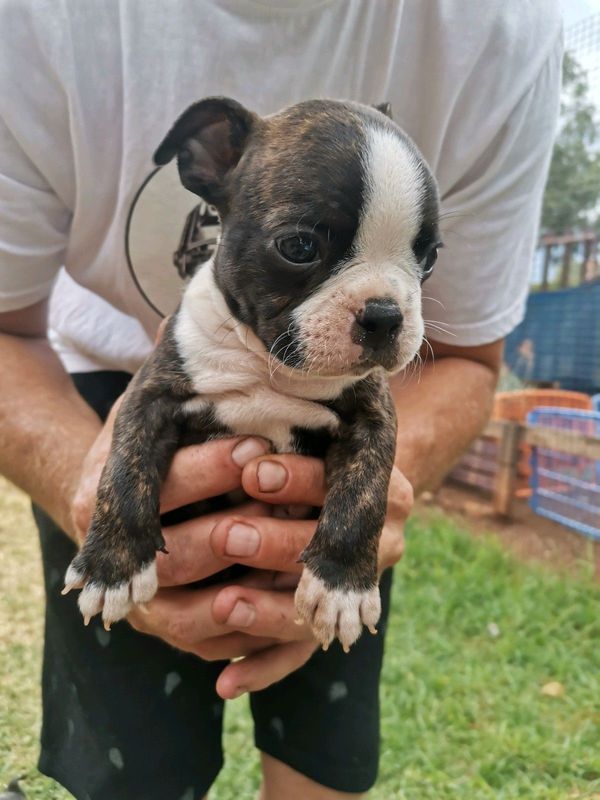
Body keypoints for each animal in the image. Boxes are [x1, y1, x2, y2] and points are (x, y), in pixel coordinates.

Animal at [64, 97, 440, 652]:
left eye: (429, 257)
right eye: (299, 246)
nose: (385, 314)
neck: (268, 364)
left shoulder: (372, 417)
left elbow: (364, 497)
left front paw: (342, 588)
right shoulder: (151, 396)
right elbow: (123, 470)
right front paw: (112, 567)